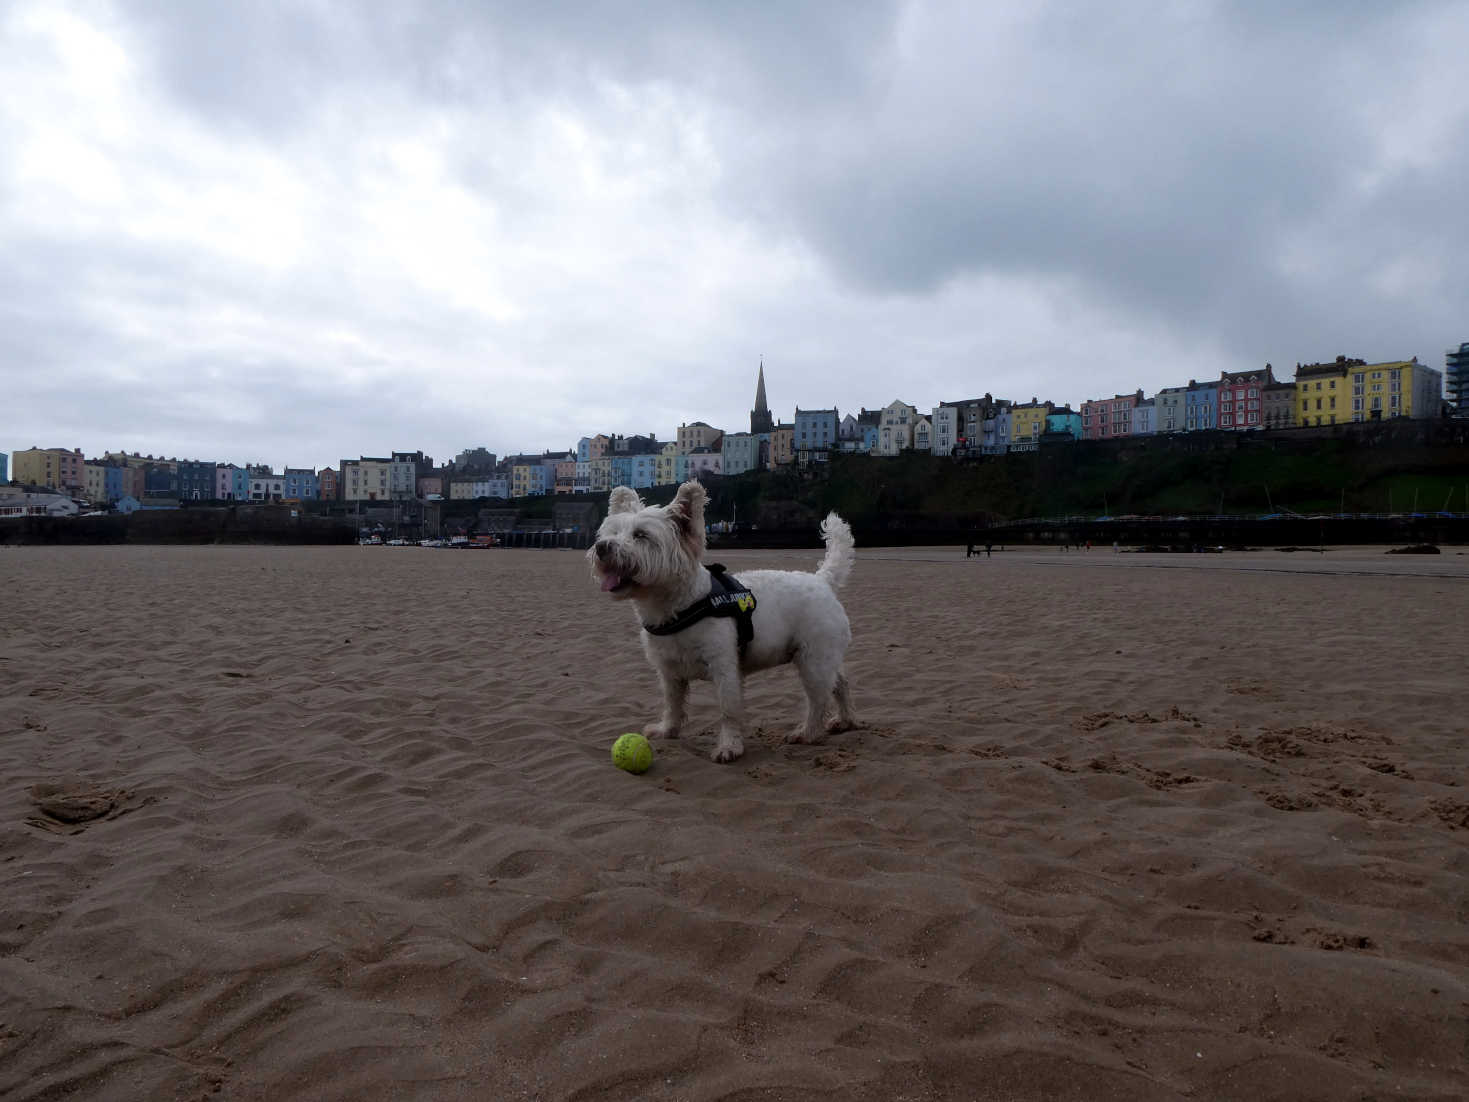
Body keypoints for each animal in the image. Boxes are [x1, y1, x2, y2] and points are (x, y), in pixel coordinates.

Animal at [587, 481, 857, 769]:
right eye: (612, 532)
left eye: (640, 535)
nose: (602, 547)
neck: (678, 608)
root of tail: (822, 580)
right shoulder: (669, 671)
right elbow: (672, 703)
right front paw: (667, 730)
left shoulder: (725, 668)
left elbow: (728, 710)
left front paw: (729, 747)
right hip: (823, 657)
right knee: (840, 682)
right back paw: (845, 720)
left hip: (812, 661)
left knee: (818, 698)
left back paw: (807, 732)